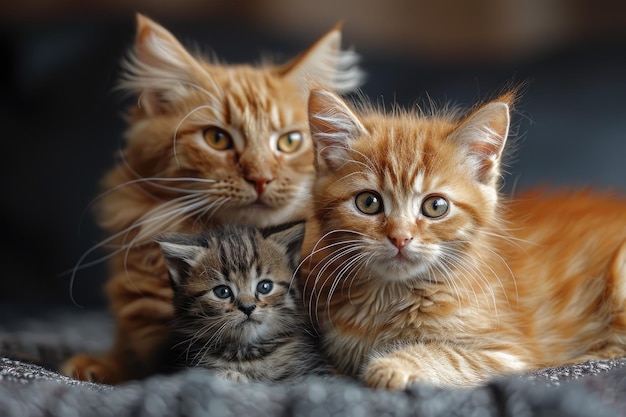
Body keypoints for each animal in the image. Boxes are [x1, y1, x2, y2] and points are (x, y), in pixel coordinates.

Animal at [298, 88, 624, 390]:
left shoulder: (509, 354)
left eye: (435, 206)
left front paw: (394, 365)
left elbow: (451, 356)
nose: (400, 237)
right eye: (368, 202)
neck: (391, 297)